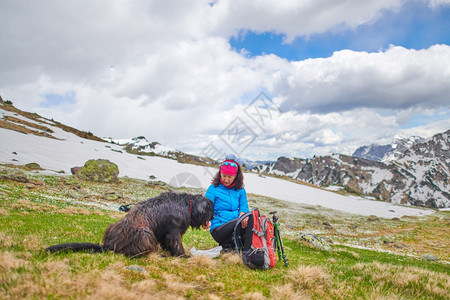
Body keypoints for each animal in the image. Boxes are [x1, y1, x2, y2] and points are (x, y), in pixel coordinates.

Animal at [46, 192, 214, 258]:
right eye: (210, 209)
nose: (213, 216)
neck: (188, 205)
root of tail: (108, 244)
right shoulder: (173, 231)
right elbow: (176, 244)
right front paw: (183, 255)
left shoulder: (163, 233)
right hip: (144, 233)